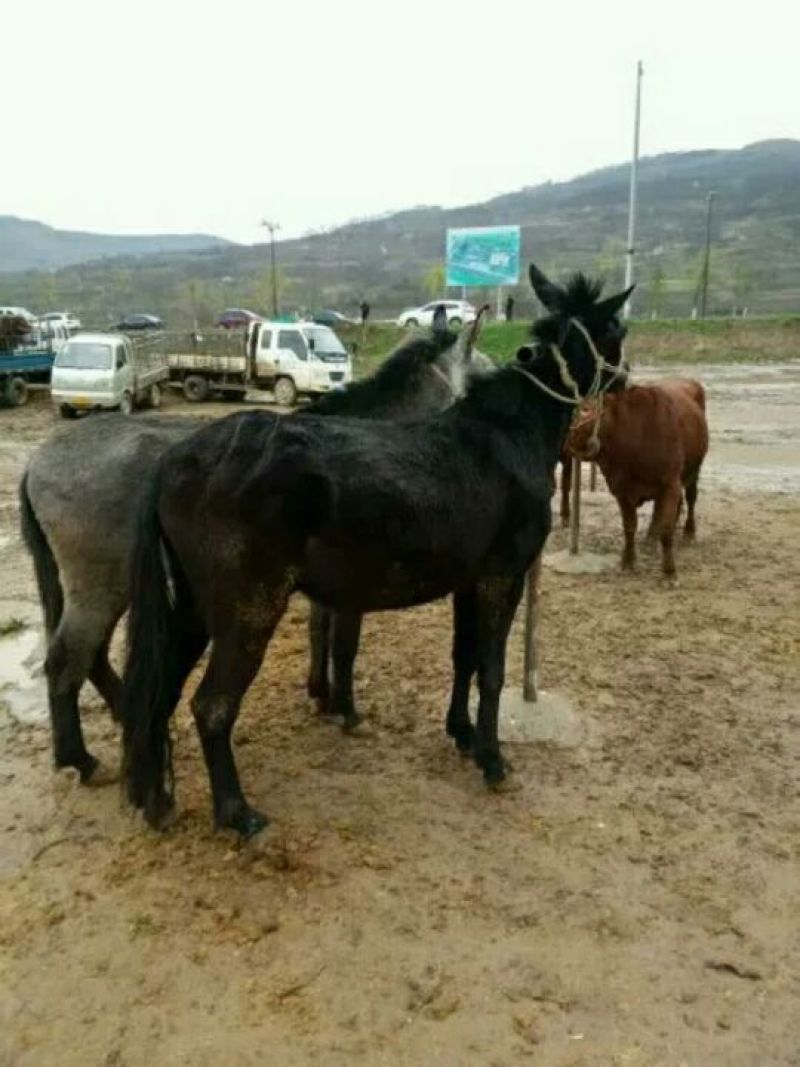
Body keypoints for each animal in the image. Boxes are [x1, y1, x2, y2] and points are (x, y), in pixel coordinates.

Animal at [19, 310, 492, 785]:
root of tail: (37, 460)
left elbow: (319, 633)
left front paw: (321, 697)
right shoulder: (352, 586)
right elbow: (345, 646)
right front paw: (346, 710)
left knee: (91, 655)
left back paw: (123, 720)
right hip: (101, 585)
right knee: (65, 660)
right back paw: (79, 757)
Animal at [121, 264, 633, 838]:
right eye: (617, 327)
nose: (626, 377)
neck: (507, 433)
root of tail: (174, 461)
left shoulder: (468, 582)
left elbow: (463, 658)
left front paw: (461, 733)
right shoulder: (503, 578)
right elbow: (491, 669)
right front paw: (493, 759)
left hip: (188, 609)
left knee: (156, 695)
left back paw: (156, 800)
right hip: (246, 610)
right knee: (211, 706)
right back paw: (237, 813)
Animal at [565, 376, 708, 578]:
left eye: (585, 411)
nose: (566, 442)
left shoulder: (669, 484)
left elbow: (666, 530)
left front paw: (669, 571)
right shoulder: (622, 490)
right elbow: (630, 526)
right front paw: (628, 561)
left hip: (694, 469)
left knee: (691, 497)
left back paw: (689, 532)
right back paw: (650, 537)